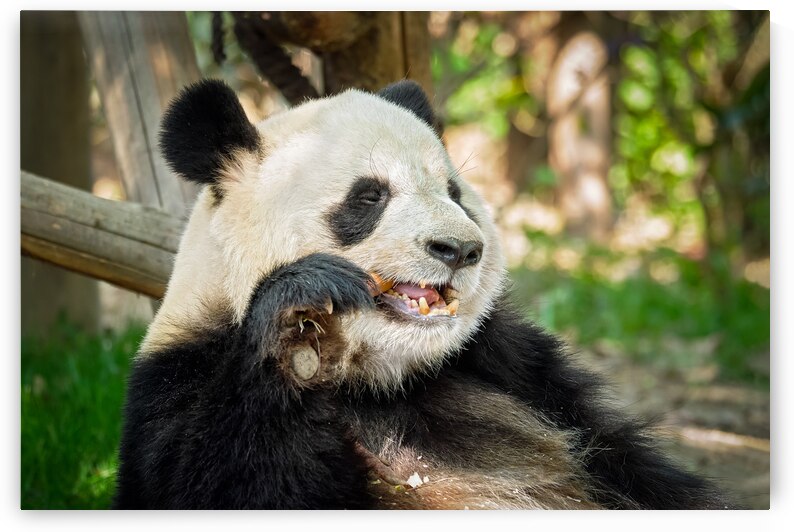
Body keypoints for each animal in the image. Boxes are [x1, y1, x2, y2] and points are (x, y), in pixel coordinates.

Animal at [113, 78, 728, 510]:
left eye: (454, 192)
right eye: (369, 196)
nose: (459, 250)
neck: (379, 377)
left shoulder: (516, 365)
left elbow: (630, 463)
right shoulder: (178, 385)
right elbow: (216, 479)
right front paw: (298, 317)